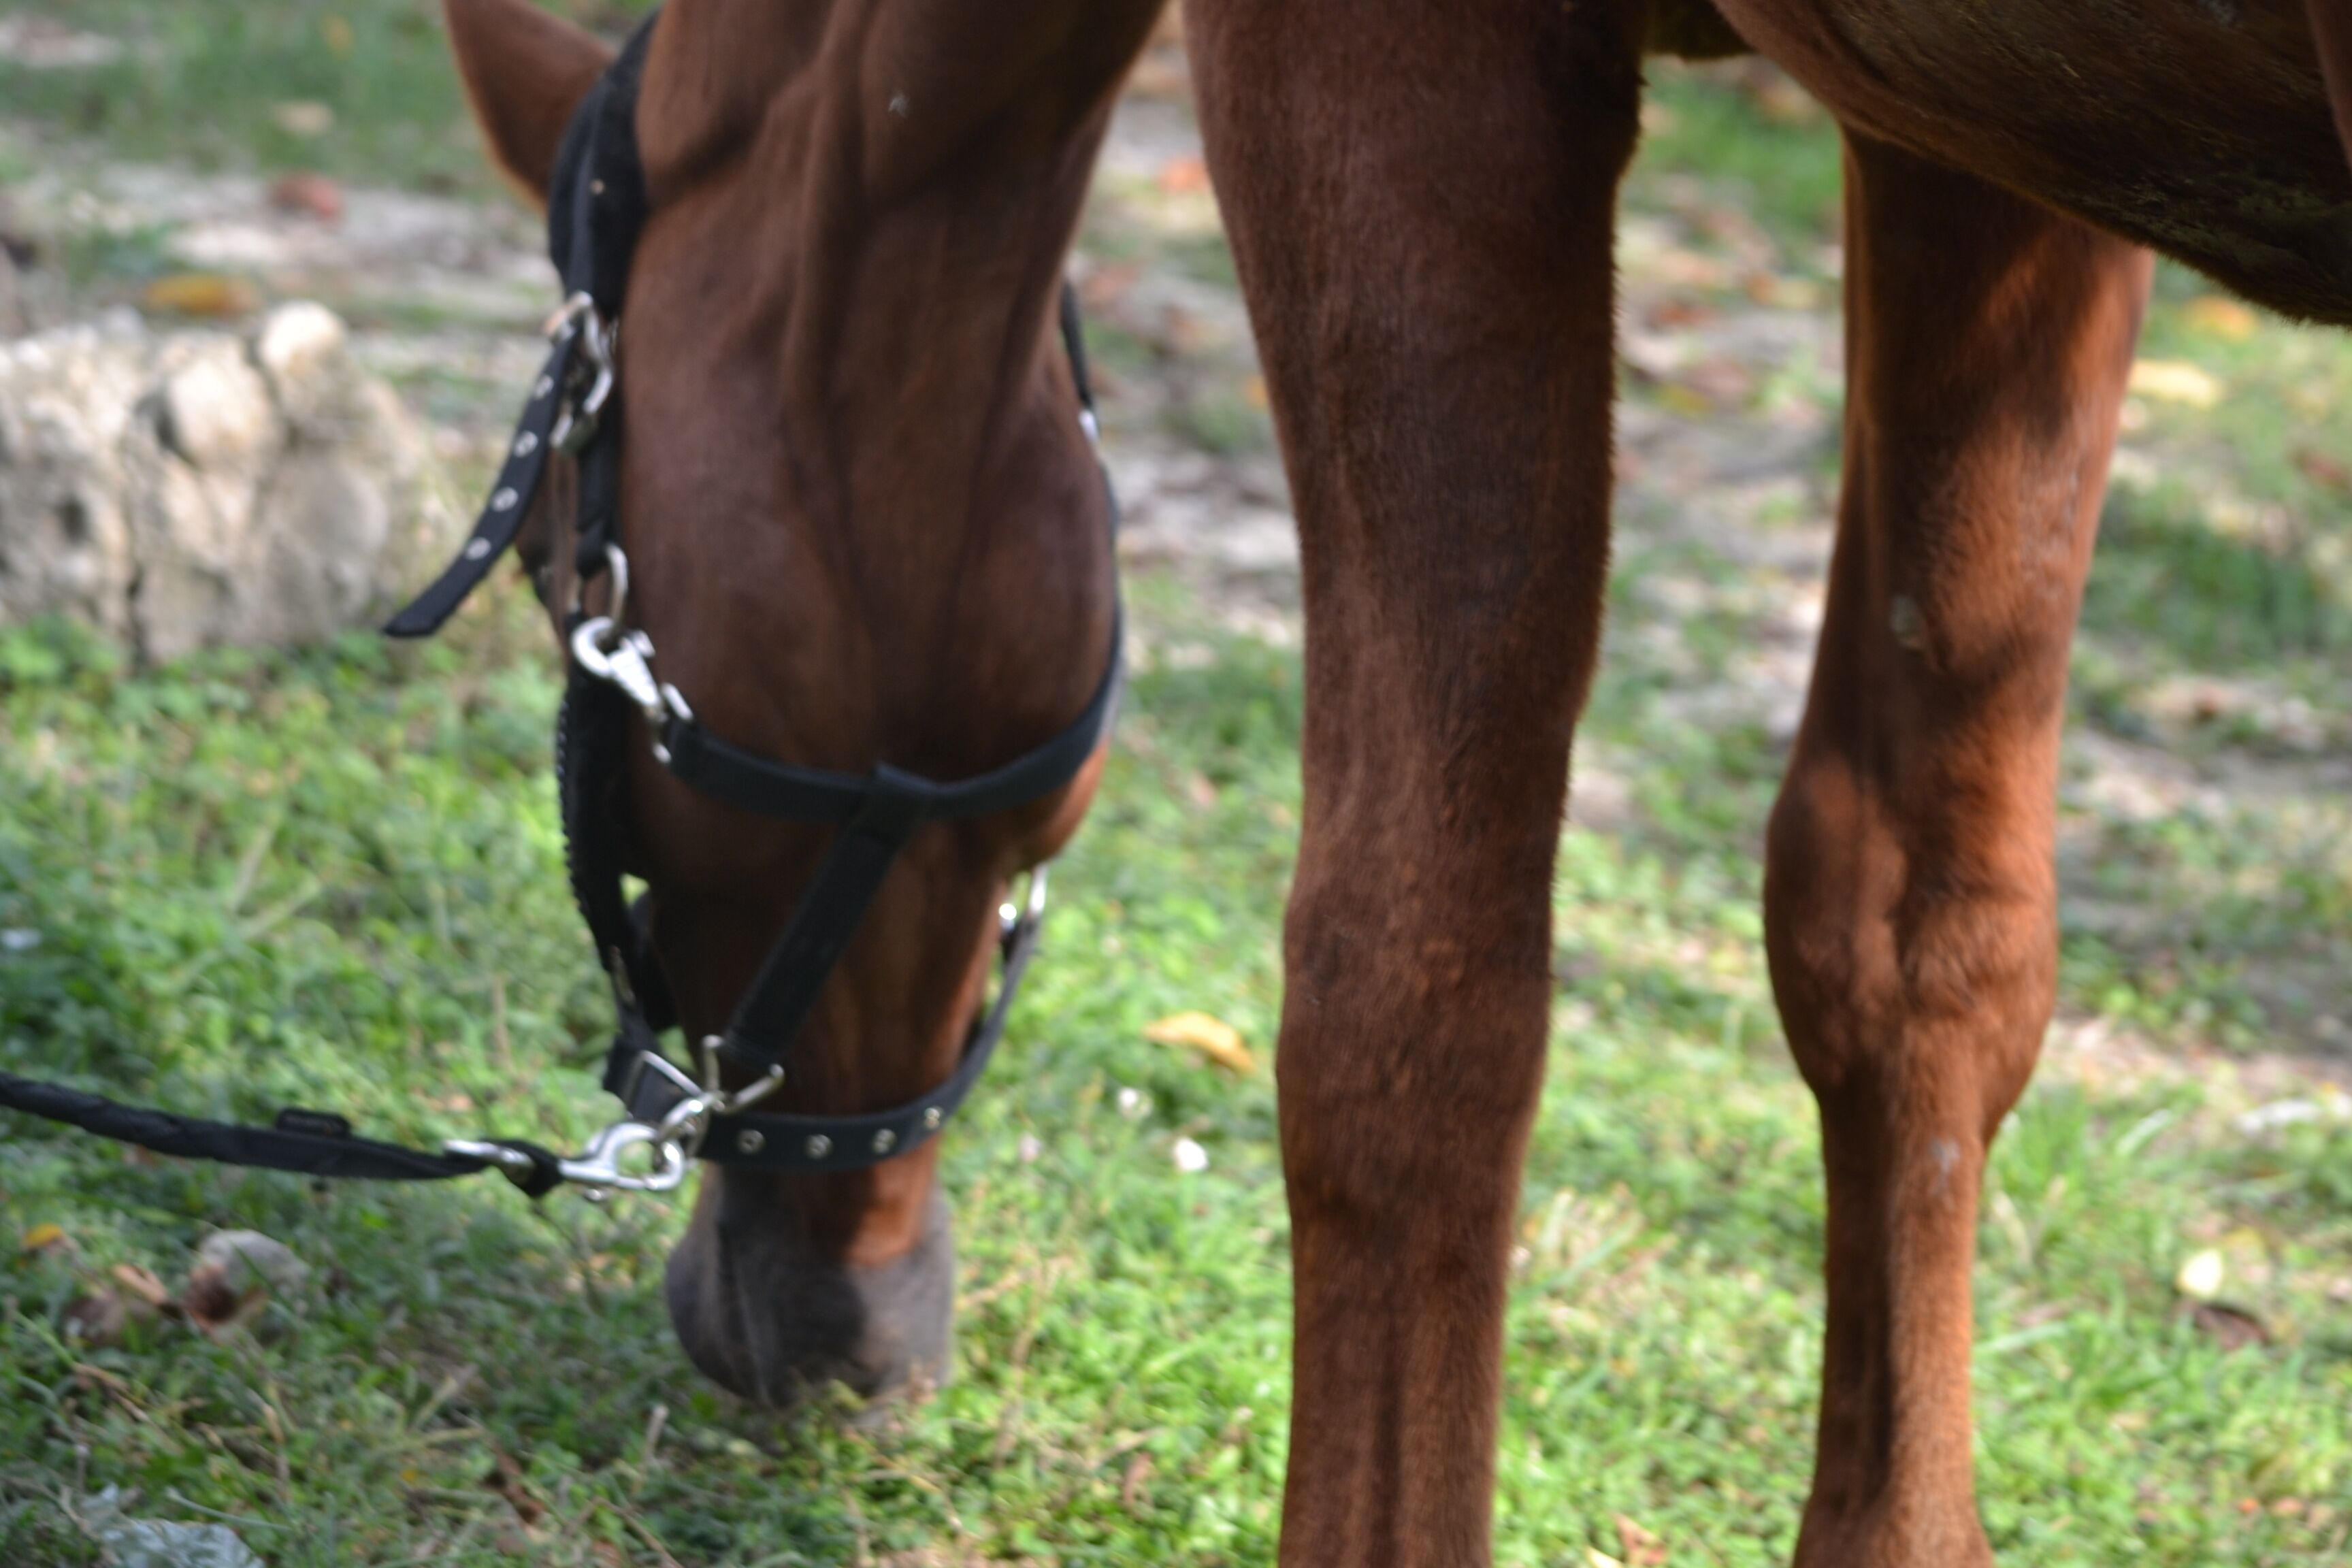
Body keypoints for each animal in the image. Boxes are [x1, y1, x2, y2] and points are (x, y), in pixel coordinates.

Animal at [442, 0, 2352, 1563]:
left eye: (547, 563)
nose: (846, 1331)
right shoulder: (1980, 171)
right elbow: (1910, 939)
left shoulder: (1381, 66)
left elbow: (1406, 1006)